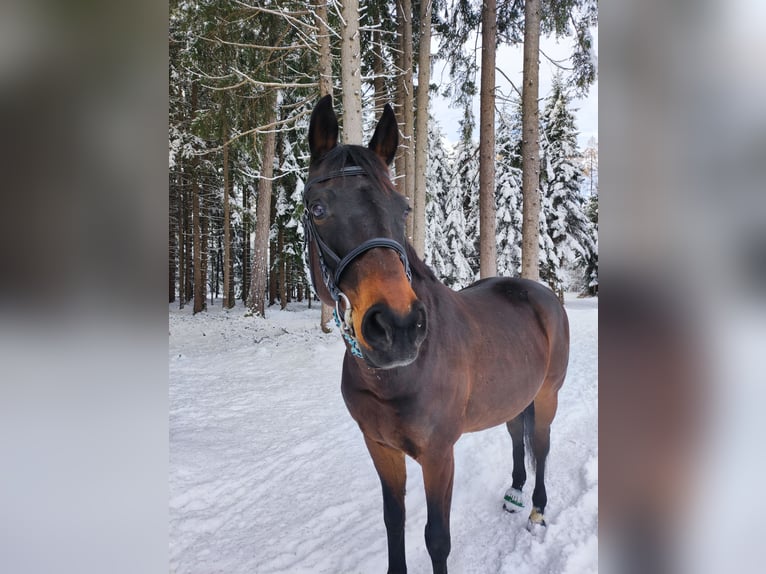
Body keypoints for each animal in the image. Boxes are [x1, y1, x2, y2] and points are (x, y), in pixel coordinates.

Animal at [303, 95, 570, 574]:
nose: (398, 327)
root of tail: (544, 295)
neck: (396, 376)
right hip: (513, 397)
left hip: (547, 396)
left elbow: (436, 538)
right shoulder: (381, 448)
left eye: (403, 209)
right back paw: (515, 492)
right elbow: (394, 521)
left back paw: (538, 509)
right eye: (318, 208)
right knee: (517, 438)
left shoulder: (438, 455)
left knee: (541, 445)